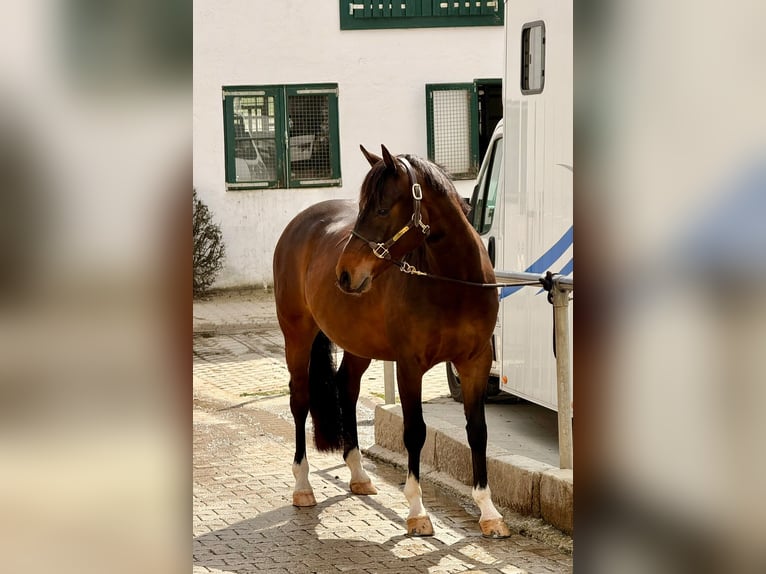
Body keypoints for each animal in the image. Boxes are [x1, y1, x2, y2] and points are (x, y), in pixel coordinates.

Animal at [273, 144, 511, 538]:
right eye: (362, 207)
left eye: (382, 209)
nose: (344, 274)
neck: (454, 284)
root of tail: (299, 224)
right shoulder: (410, 366)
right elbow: (414, 431)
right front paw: (417, 511)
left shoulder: (475, 362)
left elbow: (478, 432)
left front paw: (489, 512)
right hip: (297, 336)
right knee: (300, 400)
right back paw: (303, 486)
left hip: (358, 343)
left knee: (347, 388)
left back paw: (358, 474)